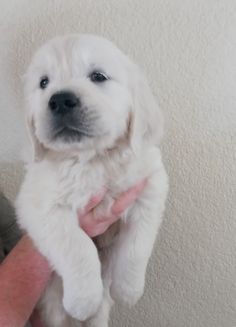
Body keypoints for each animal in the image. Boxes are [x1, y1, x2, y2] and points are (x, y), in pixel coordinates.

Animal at [15, 34, 168, 326]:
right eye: (43, 83)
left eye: (98, 76)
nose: (60, 100)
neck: (92, 160)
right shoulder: (38, 205)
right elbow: (78, 247)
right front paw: (83, 300)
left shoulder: (150, 187)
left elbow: (137, 246)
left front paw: (128, 290)